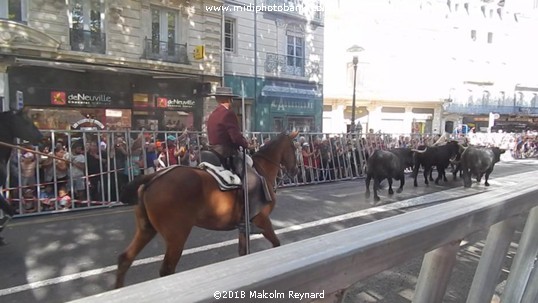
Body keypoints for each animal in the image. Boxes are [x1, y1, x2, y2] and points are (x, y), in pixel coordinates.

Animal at [114, 132, 298, 288]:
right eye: (294, 148)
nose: (295, 171)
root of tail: (153, 176)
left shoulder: (245, 226)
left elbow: (243, 252)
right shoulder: (262, 220)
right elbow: (276, 244)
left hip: (146, 229)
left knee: (125, 259)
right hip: (177, 236)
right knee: (167, 270)